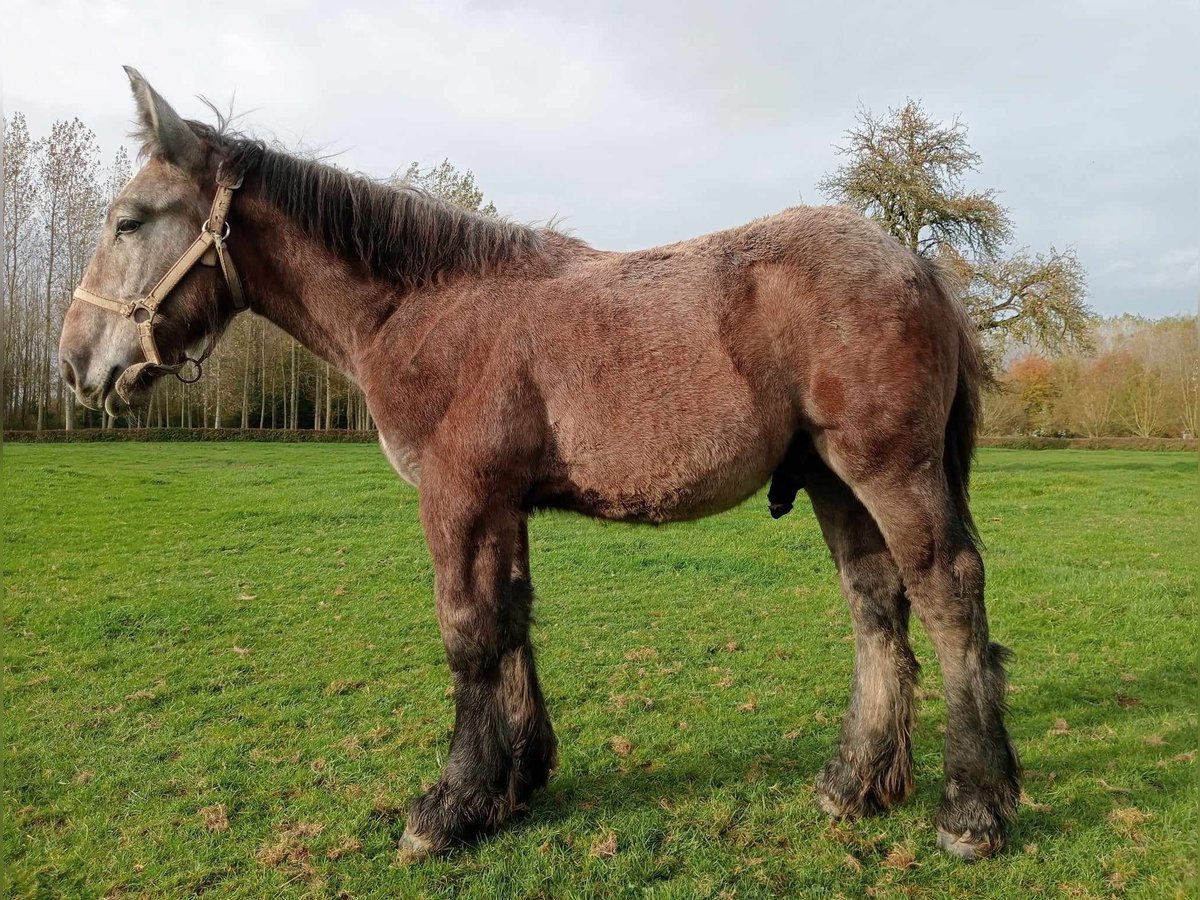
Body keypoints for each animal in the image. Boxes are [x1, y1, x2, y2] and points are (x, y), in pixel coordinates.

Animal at [54, 68, 1012, 859]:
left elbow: (469, 633)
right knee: (876, 603)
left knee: (947, 592)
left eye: (129, 221)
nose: (74, 364)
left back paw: (974, 808)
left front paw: (449, 806)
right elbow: (511, 622)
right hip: (831, 480)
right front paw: (515, 780)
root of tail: (914, 260)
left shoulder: (459, 498)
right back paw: (856, 783)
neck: (424, 309)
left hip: (889, 471)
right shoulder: (501, 504)